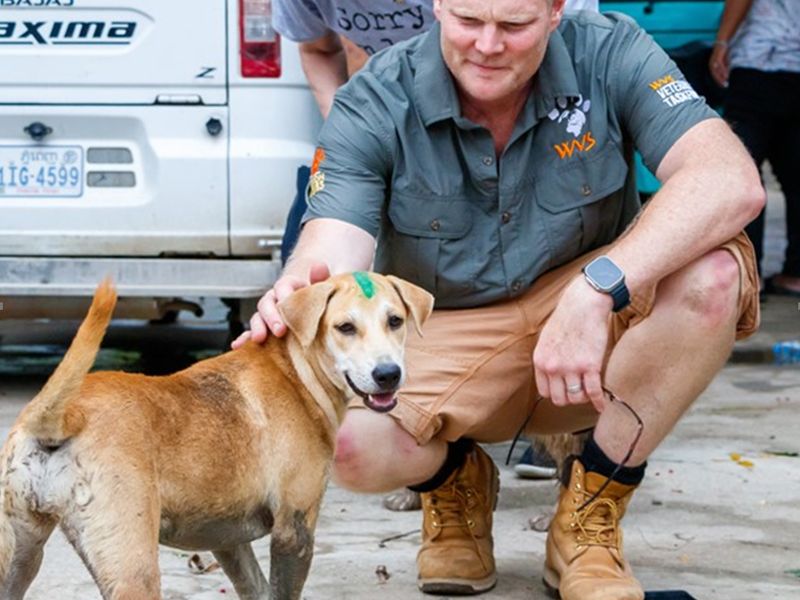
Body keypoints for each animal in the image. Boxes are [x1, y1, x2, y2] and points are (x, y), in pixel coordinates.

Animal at [0, 274, 432, 600]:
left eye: (395, 321)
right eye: (345, 327)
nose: (388, 374)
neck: (294, 368)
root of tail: (63, 416)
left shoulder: (227, 539)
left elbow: (256, 587)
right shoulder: (294, 530)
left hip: (19, 556)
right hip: (132, 568)